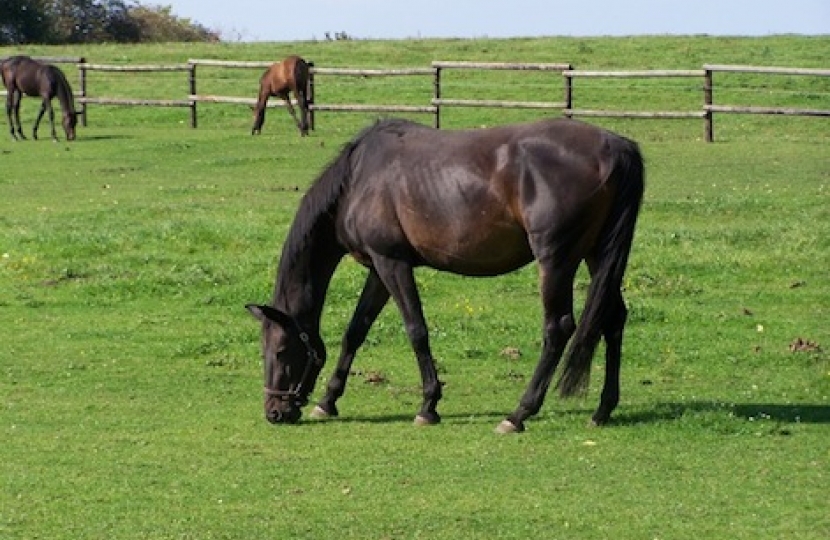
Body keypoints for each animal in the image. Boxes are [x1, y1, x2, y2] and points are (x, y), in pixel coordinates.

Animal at [247, 117, 645, 433]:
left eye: (280, 350)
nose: (274, 412)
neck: (358, 179)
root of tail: (615, 146)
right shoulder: (379, 267)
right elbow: (355, 331)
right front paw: (328, 401)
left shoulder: (392, 263)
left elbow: (416, 331)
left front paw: (428, 406)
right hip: (596, 255)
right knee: (613, 318)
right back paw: (602, 410)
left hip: (556, 260)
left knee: (558, 328)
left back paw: (518, 414)